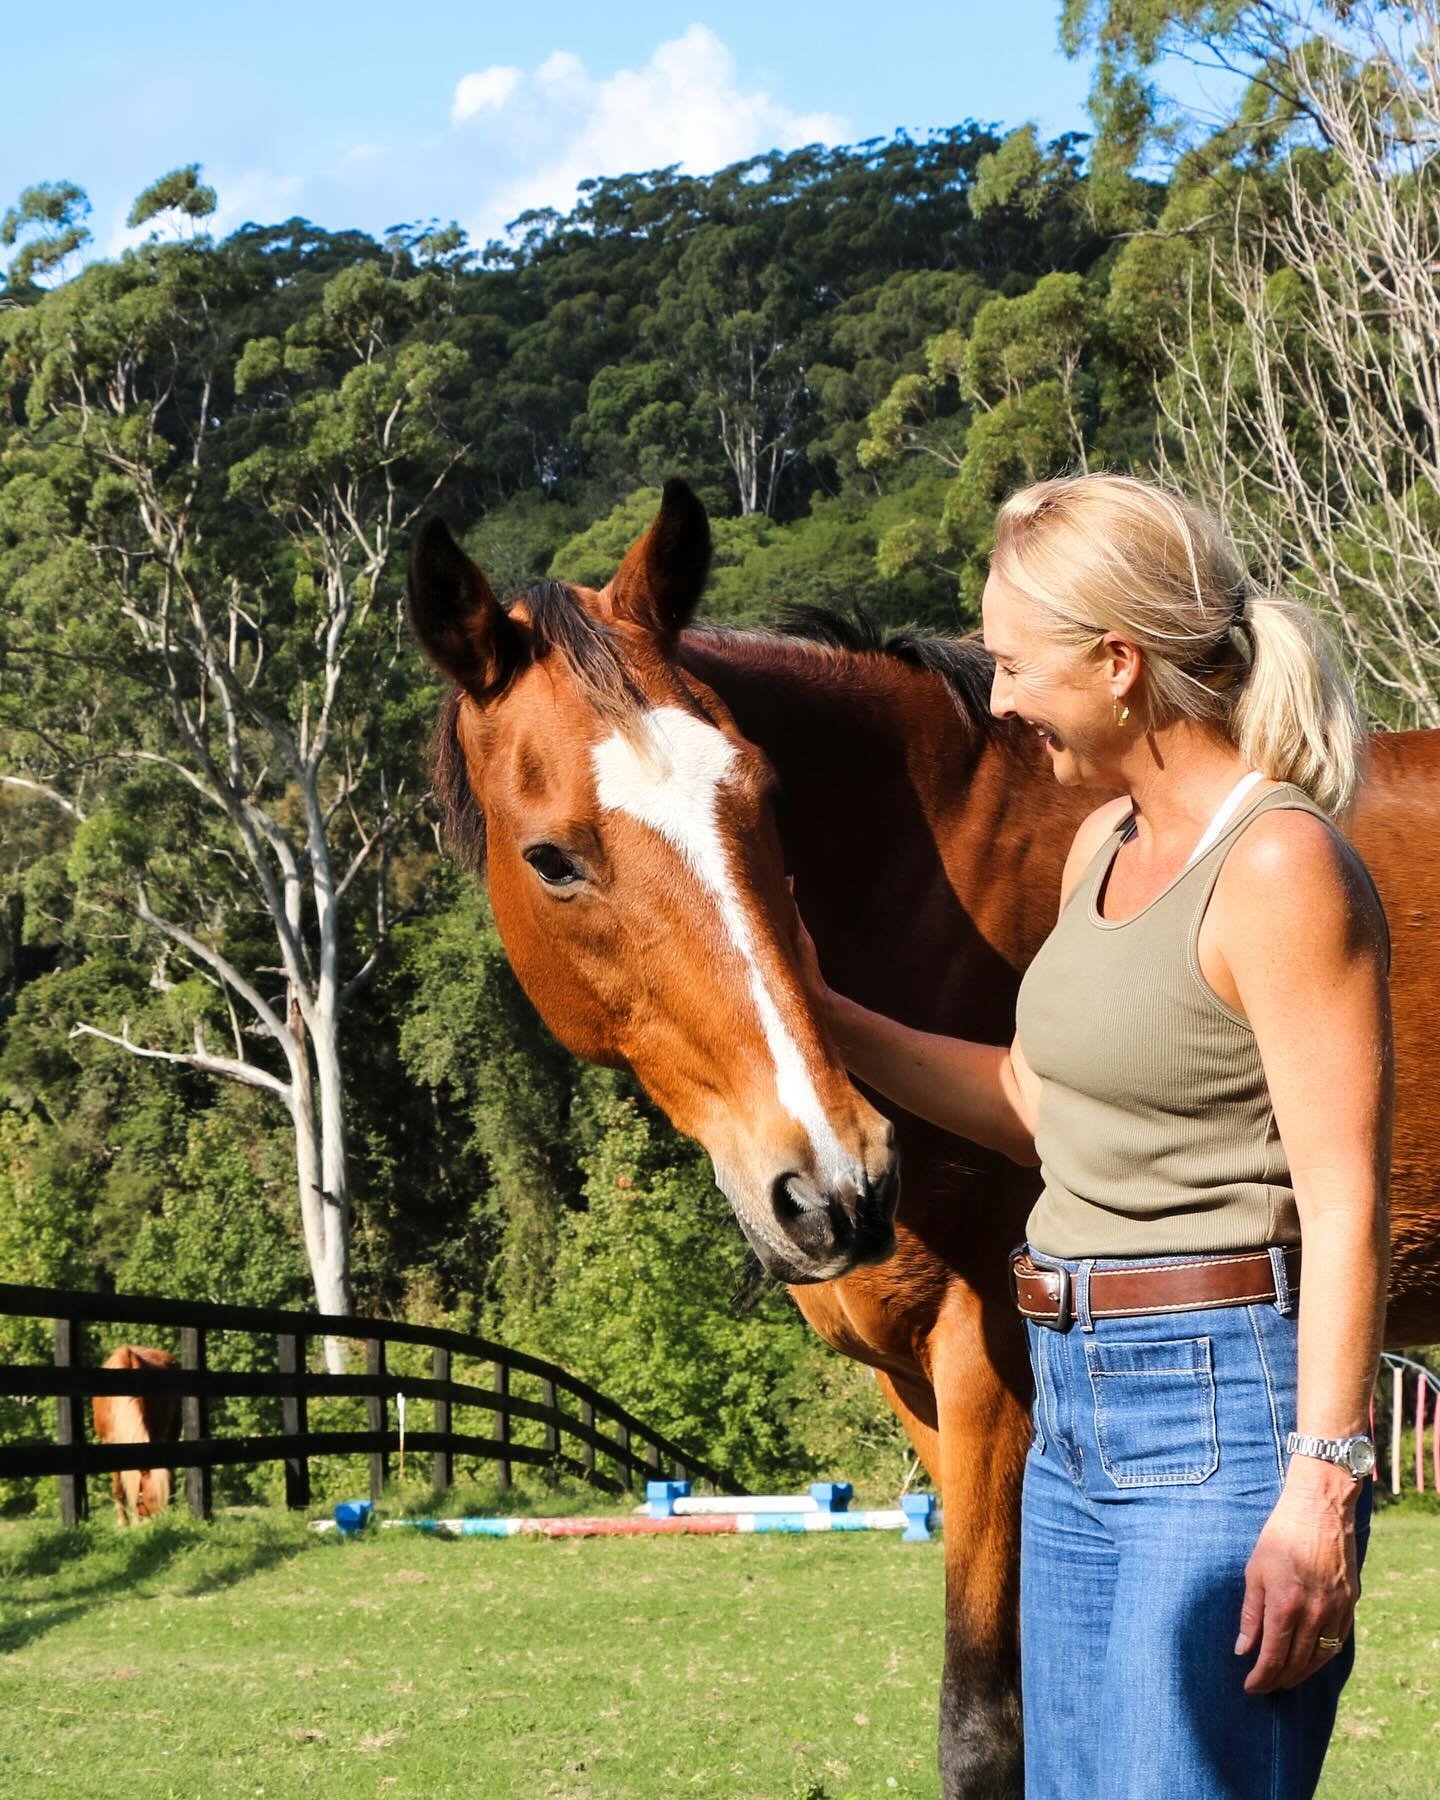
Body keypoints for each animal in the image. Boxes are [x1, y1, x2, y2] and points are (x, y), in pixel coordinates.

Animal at [408, 478, 1440, 1800]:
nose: (835, 1186)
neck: (931, 881)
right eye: (552, 858)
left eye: (765, 800)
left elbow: (988, 1723)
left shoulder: (992, 1352)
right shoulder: (919, 1385)